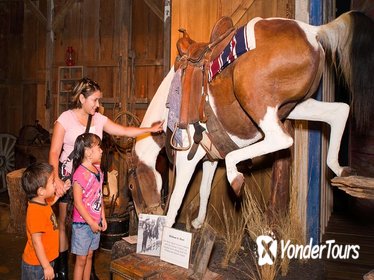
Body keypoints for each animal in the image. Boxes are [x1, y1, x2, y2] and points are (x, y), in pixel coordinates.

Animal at [128, 11, 374, 230]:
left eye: (131, 187)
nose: (141, 219)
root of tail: (313, 32)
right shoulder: (209, 158)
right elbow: (205, 190)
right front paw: (198, 223)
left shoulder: (186, 159)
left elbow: (177, 200)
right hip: (296, 106)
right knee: (339, 111)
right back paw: (340, 169)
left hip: (255, 99)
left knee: (281, 140)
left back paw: (236, 176)